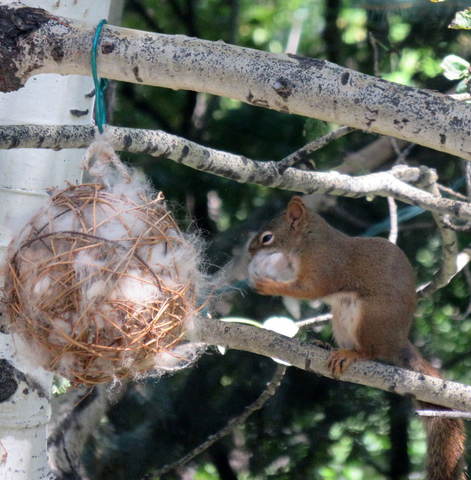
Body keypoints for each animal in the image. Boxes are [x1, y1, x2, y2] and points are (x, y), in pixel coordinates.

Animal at [249, 196, 466, 480]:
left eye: (267, 237)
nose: (249, 252)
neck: (308, 241)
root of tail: (397, 341)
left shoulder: (324, 267)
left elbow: (308, 290)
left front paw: (267, 285)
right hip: (341, 320)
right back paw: (325, 346)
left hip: (369, 318)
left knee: (370, 352)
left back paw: (351, 354)